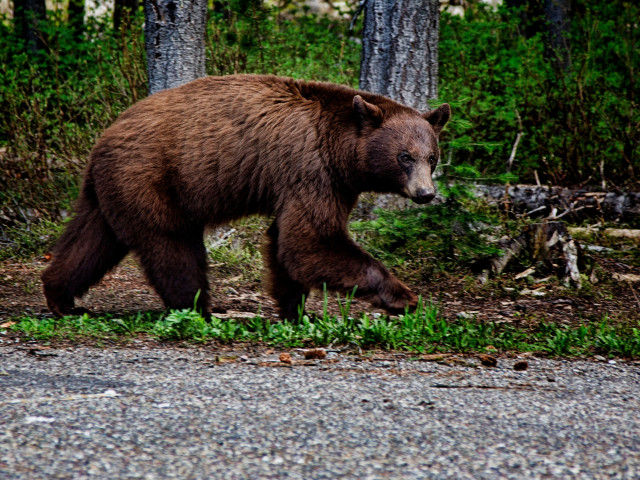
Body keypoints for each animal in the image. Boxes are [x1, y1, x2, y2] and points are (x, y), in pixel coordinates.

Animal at [42, 75, 450, 320]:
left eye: (432, 156)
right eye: (404, 156)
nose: (425, 193)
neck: (340, 148)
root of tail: (103, 139)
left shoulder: (330, 183)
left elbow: (287, 245)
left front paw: (295, 311)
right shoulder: (310, 171)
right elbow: (311, 241)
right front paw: (404, 297)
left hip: (109, 189)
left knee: (92, 240)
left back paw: (60, 297)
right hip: (149, 177)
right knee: (172, 244)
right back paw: (198, 309)